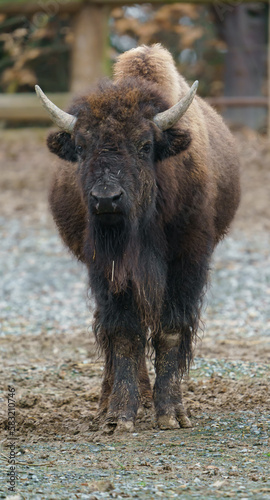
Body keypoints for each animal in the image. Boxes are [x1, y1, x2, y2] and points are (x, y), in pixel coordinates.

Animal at [35, 45, 240, 432]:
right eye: (81, 147)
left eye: (144, 145)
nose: (106, 199)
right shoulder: (108, 271)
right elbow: (124, 334)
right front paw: (119, 416)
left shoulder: (187, 262)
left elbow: (171, 329)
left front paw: (172, 414)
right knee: (110, 331)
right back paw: (112, 405)